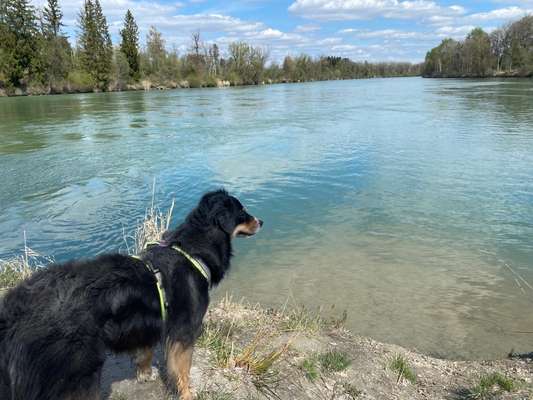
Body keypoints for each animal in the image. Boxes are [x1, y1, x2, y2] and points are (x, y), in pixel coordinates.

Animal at [0, 189, 262, 398]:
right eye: (242, 211)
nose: (260, 221)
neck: (191, 251)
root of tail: (15, 310)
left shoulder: (145, 322)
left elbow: (145, 350)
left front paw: (144, 373)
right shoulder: (185, 331)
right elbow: (183, 370)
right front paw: (187, 393)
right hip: (79, 371)